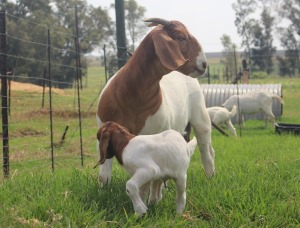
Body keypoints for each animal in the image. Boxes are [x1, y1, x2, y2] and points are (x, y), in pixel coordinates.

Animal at [97, 17, 214, 185]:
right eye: (181, 37)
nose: (204, 64)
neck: (131, 97)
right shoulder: (104, 128)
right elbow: (104, 173)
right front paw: (104, 188)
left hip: (200, 115)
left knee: (205, 147)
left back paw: (210, 175)